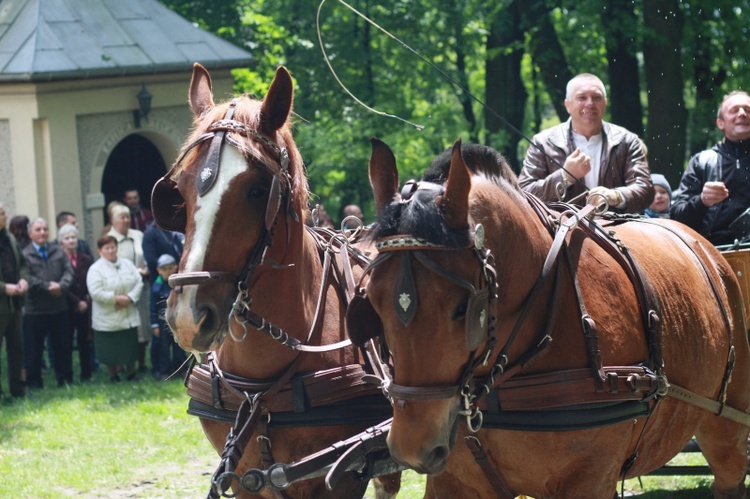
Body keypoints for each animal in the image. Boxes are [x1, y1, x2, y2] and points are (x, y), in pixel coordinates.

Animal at [153, 64, 400, 498]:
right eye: (179, 192)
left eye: (256, 190)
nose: (187, 317)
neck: (261, 391)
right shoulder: (245, 480)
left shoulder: (343, 476)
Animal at [352, 138, 750, 499]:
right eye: (373, 301)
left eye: (463, 308)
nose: (411, 445)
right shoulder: (454, 483)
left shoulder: (588, 481)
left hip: (727, 427)